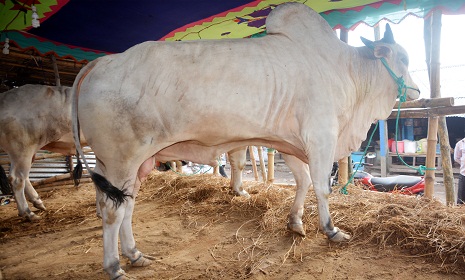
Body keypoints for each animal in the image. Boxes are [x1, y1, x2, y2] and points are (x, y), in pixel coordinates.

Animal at [70, 3, 418, 278]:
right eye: (402, 57)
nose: (415, 90)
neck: (345, 70)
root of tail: (101, 62)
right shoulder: (321, 136)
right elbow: (321, 186)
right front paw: (331, 230)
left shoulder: (292, 144)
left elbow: (303, 181)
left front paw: (295, 222)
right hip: (121, 158)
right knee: (112, 210)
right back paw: (114, 266)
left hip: (133, 164)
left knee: (125, 205)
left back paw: (135, 254)